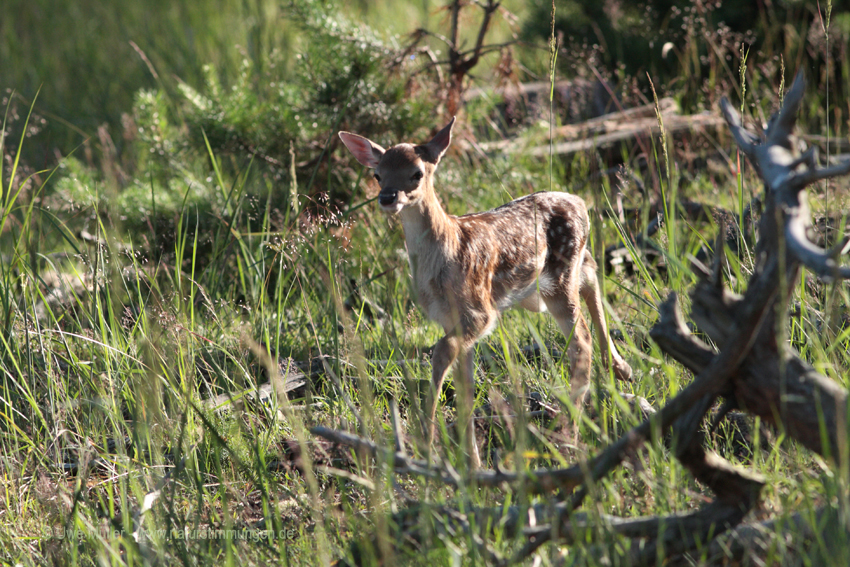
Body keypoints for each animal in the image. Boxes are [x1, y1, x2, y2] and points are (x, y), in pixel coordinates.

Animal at [338, 117, 628, 468]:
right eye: (377, 174)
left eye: (417, 173)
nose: (387, 197)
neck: (445, 255)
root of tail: (580, 201)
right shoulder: (450, 320)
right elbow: (464, 387)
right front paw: (472, 464)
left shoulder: (480, 311)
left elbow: (440, 354)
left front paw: (427, 441)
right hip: (557, 277)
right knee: (592, 275)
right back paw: (619, 368)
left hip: (558, 280)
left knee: (581, 341)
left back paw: (567, 434)